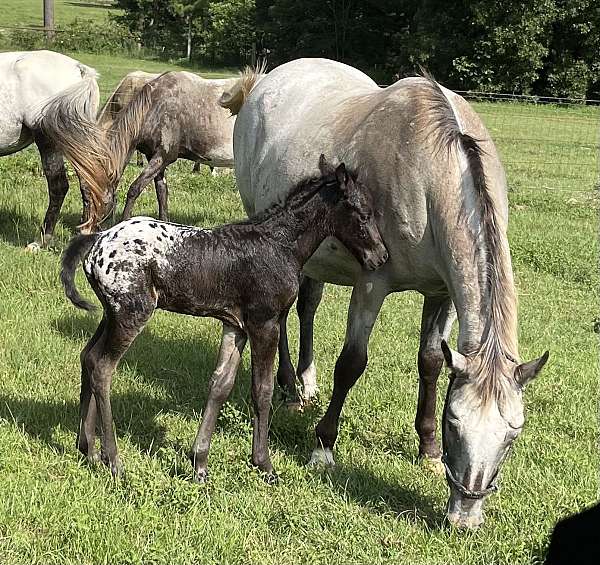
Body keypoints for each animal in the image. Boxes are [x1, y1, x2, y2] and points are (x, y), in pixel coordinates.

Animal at [61, 155, 390, 480]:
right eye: (364, 214)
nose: (381, 256)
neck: (279, 244)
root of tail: (98, 240)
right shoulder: (264, 324)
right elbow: (262, 390)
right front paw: (264, 463)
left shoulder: (235, 326)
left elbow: (220, 385)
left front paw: (200, 464)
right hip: (132, 314)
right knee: (102, 367)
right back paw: (113, 461)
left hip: (111, 315)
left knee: (87, 357)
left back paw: (88, 449)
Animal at [221, 59, 548, 528]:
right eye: (455, 421)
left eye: (512, 434)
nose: (464, 516)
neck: (430, 171)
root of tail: (268, 80)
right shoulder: (371, 283)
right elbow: (351, 364)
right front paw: (323, 446)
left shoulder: (442, 293)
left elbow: (431, 362)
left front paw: (428, 451)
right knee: (282, 317)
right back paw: (288, 389)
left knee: (307, 307)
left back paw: (305, 383)